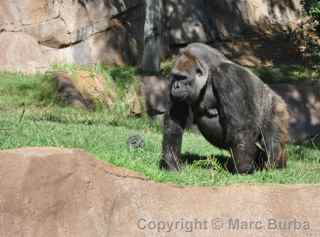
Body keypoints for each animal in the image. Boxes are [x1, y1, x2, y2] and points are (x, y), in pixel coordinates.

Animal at [161, 43, 288, 174]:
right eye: (175, 76)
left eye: (183, 77)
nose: (175, 86)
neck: (209, 72)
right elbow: (174, 123)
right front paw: (172, 163)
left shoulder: (227, 75)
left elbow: (241, 128)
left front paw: (243, 169)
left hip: (276, 107)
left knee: (272, 141)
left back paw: (275, 165)